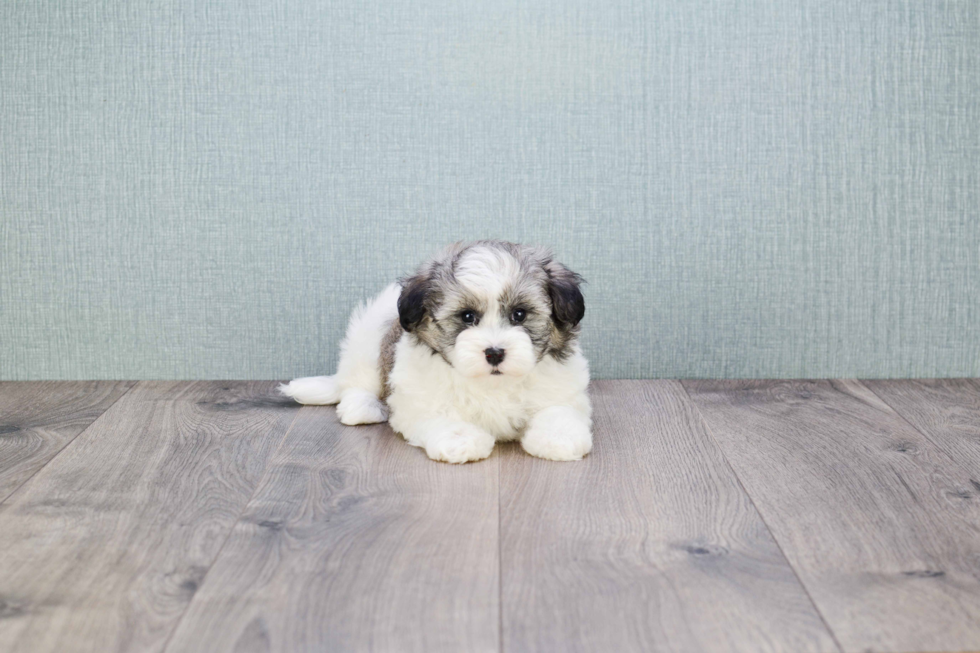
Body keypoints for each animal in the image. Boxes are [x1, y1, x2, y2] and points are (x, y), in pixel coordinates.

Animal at [280, 241, 592, 464]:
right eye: (467, 317)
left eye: (519, 314)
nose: (494, 353)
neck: (492, 383)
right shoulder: (418, 397)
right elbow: (439, 414)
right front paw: (460, 439)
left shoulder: (561, 390)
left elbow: (557, 411)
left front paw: (558, 437)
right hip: (368, 336)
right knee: (357, 382)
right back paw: (362, 408)